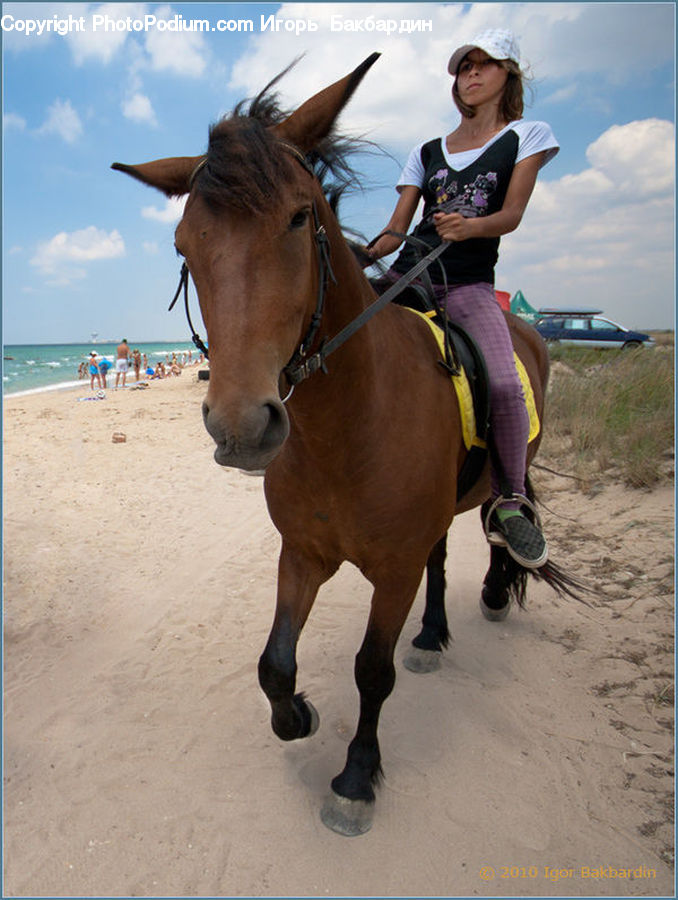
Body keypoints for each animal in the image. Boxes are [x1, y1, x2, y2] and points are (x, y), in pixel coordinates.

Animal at [112, 53, 579, 836]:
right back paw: (433, 633)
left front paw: (356, 778)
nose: (242, 425)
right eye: (183, 246)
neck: (344, 430)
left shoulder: (390, 572)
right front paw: (296, 716)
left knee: (499, 519)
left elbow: (371, 670)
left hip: (505, 473)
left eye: (301, 216)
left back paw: (494, 584)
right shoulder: (302, 553)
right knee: (441, 558)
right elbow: (273, 662)